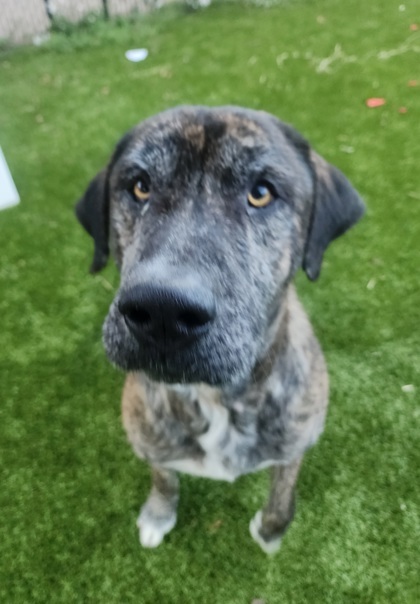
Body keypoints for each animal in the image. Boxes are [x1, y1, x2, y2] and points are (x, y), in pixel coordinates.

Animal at [75, 106, 364, 556]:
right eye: (139, 185)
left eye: (261, 192)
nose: (163, 310)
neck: (215, 398)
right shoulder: (151, 444)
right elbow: (164, 478)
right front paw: (158, 515)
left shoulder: (294, 447)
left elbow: (282, 499)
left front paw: (269, 534)